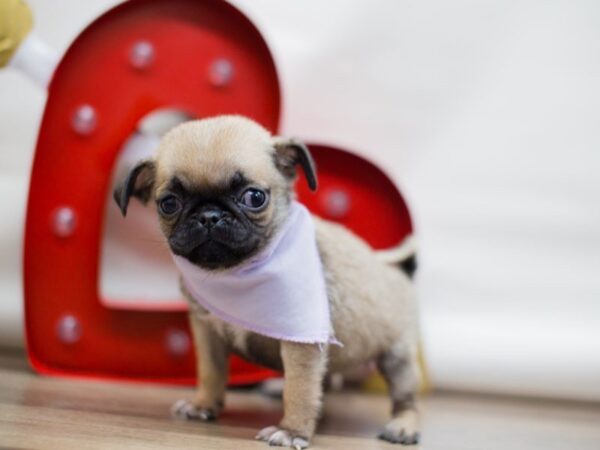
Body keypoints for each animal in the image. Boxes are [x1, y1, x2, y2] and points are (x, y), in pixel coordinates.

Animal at [113, 116, 422, 446]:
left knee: (405, 398)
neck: (232, 273)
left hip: (398, 358)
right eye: (168, 204)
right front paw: (203, 405)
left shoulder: (300, 344)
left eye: (254, 197)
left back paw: (403, 426)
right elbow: (210, 372)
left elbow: (299, 389)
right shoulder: (207, 333)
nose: (209, 215)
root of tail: (396, 268)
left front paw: (292, 430)